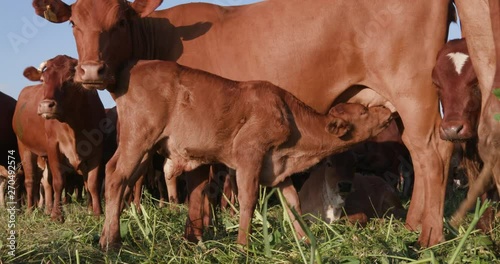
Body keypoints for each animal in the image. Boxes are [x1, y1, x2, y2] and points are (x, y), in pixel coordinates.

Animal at [12, 55, 106, 221]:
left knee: (47, 183)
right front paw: (57, 216)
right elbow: (59, 182)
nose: (45, 105)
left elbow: (92, 183)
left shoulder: (97, 150)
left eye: (69, 80)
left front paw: (96, 213)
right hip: (24, 146)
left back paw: (48, 209)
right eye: (43, 80)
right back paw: (30, 211)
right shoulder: (53, 146)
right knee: (31, 180)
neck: (74, 124)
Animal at [97, 59, 392, 250]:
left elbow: (293, 204)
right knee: (116, 178)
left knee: (117, 177)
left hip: (143, 149)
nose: (387, 111)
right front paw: (243, 245)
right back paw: (111, 242)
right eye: (363, 111)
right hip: (138, 139)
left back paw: (106, 237)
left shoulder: (279, 169)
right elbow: (248, 201)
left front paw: (306, 240)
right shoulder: (249, 156)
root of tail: (136, 66)